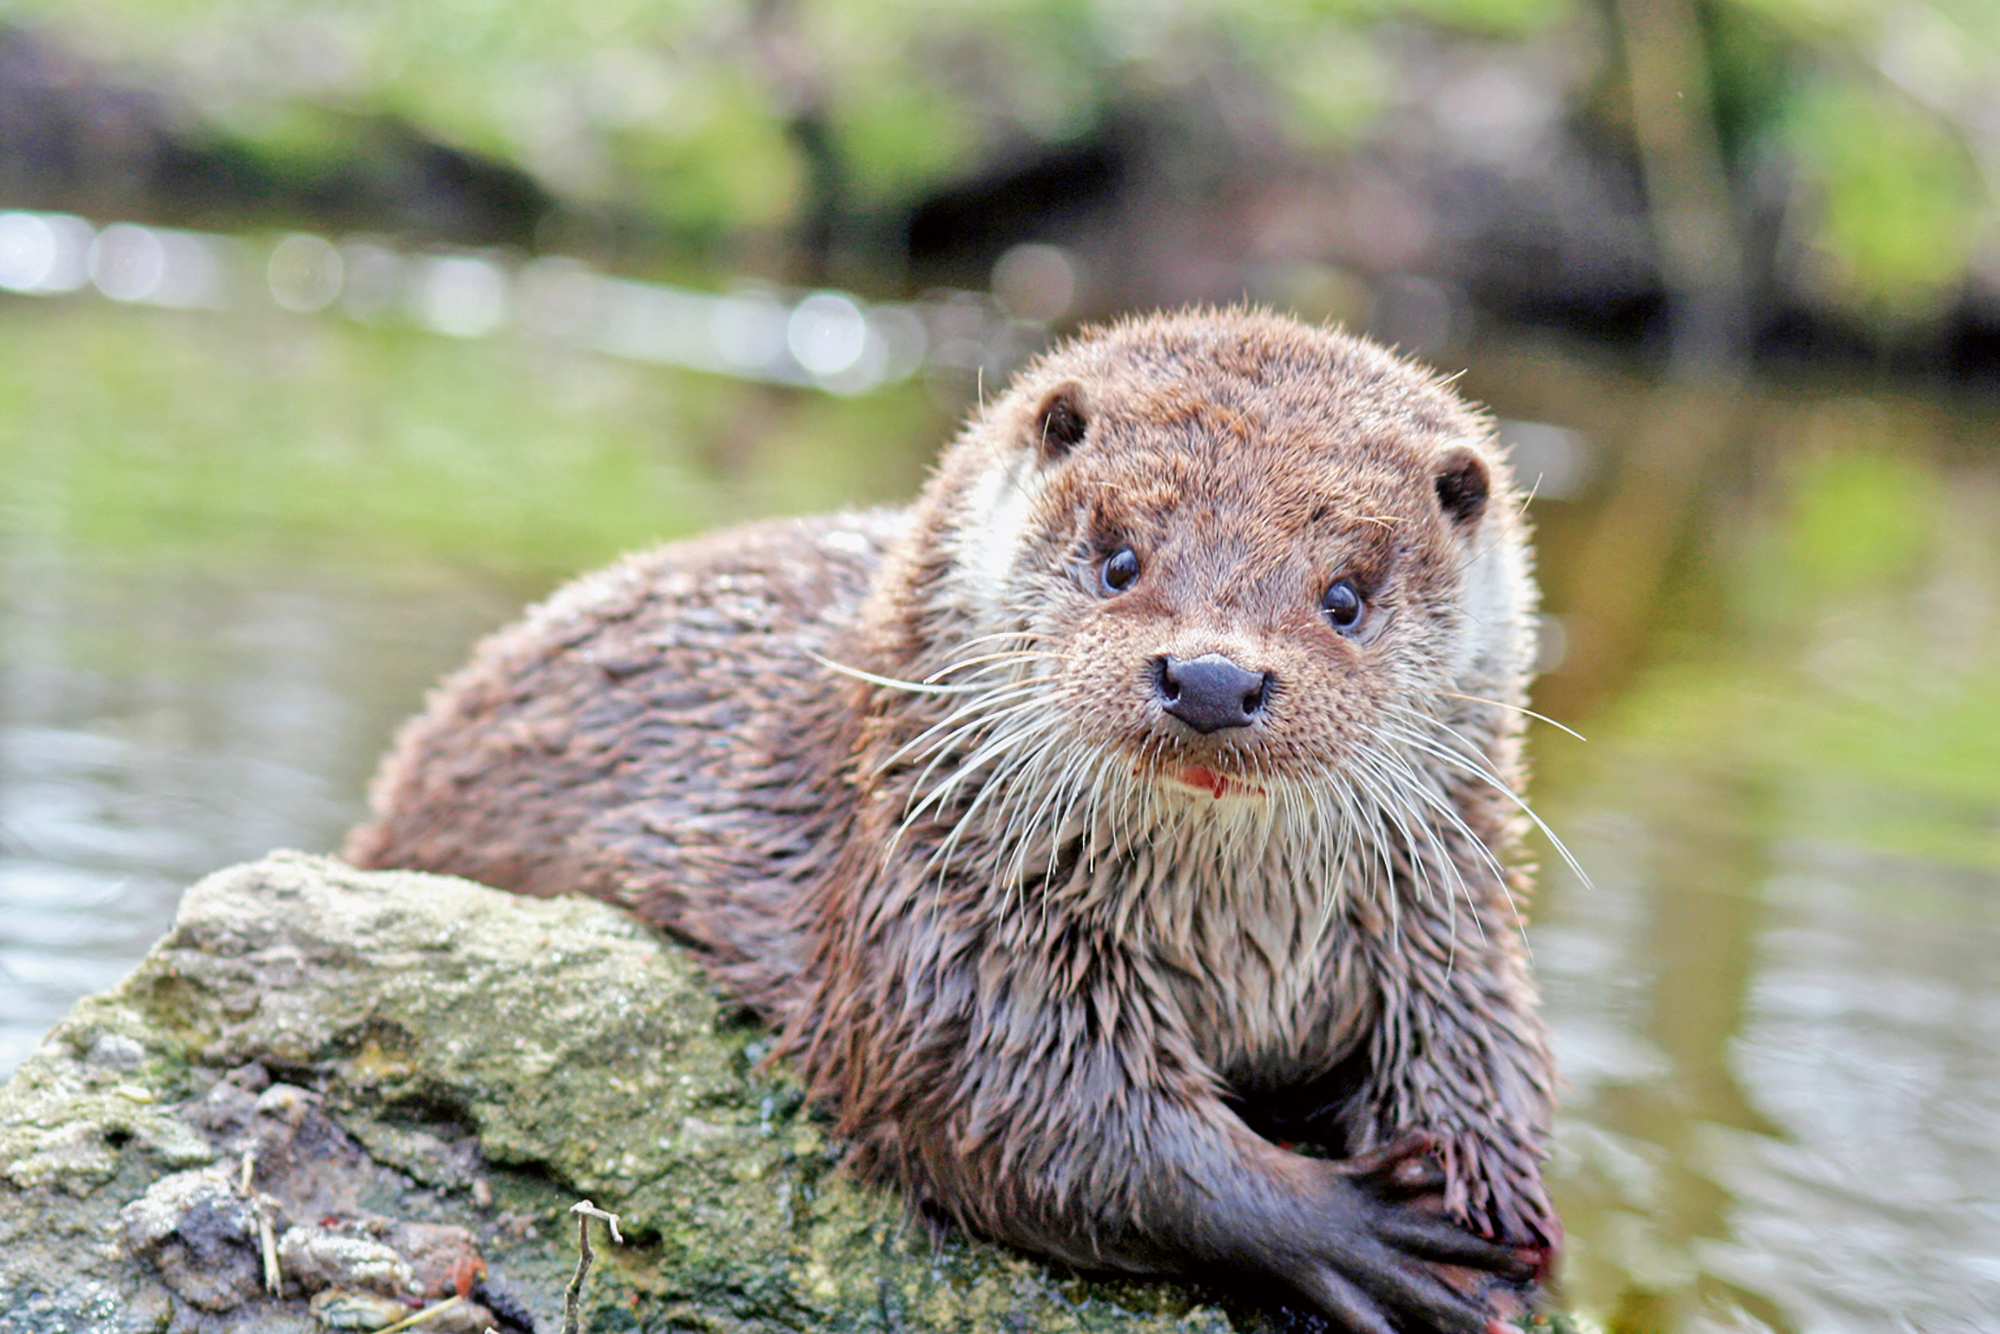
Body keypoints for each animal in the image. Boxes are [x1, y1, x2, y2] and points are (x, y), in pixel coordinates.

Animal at [347, 308, 1561, 1333]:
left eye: (1344, 599)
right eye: (1119, 559)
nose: (1213, 677)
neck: (1236, 943)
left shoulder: (1448, 925)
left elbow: (1488, 1058)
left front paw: (1480, 1182)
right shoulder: (946, 916)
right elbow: (1040, 1113)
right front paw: (1357, 1231)